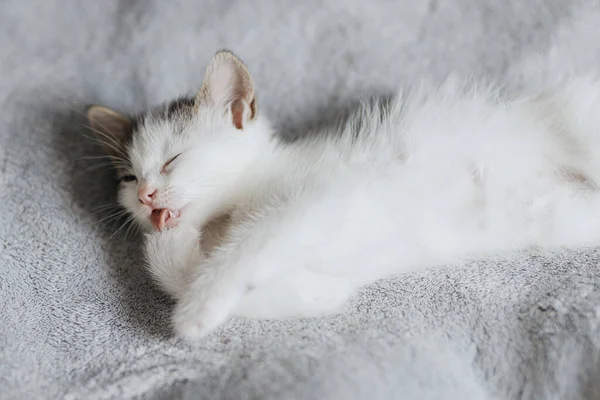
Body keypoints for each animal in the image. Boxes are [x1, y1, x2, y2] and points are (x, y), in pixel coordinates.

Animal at [86, 50, 600, 342]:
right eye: (129, 177)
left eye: (173, 159)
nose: (148, 195)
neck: (230, 210)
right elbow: (176, 268)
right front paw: (318, 294)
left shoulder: (322, 196)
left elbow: (247, 246)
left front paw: (197, 310)